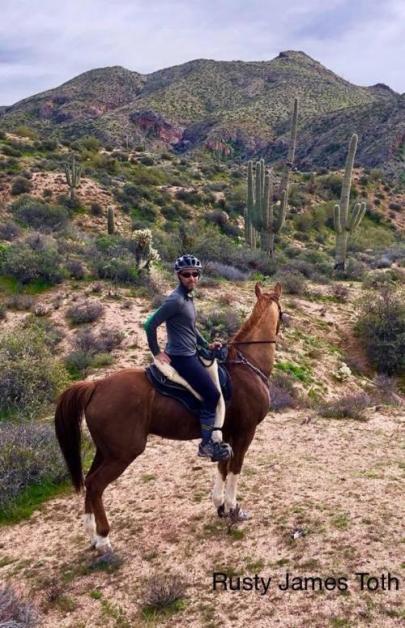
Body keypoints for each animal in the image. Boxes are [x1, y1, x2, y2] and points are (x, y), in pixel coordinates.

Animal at [54, 282, 280, 552]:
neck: (247, 367)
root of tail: (96, 385)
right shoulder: (246, 431)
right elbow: (235, 468)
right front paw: (234, 508)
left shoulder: (225, 434)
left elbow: (222, 467)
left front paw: (220, 506)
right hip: (123, 453)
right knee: (97, 485)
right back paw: (104, 538)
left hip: (106, 451)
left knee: (89, 482)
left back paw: (92, 536)